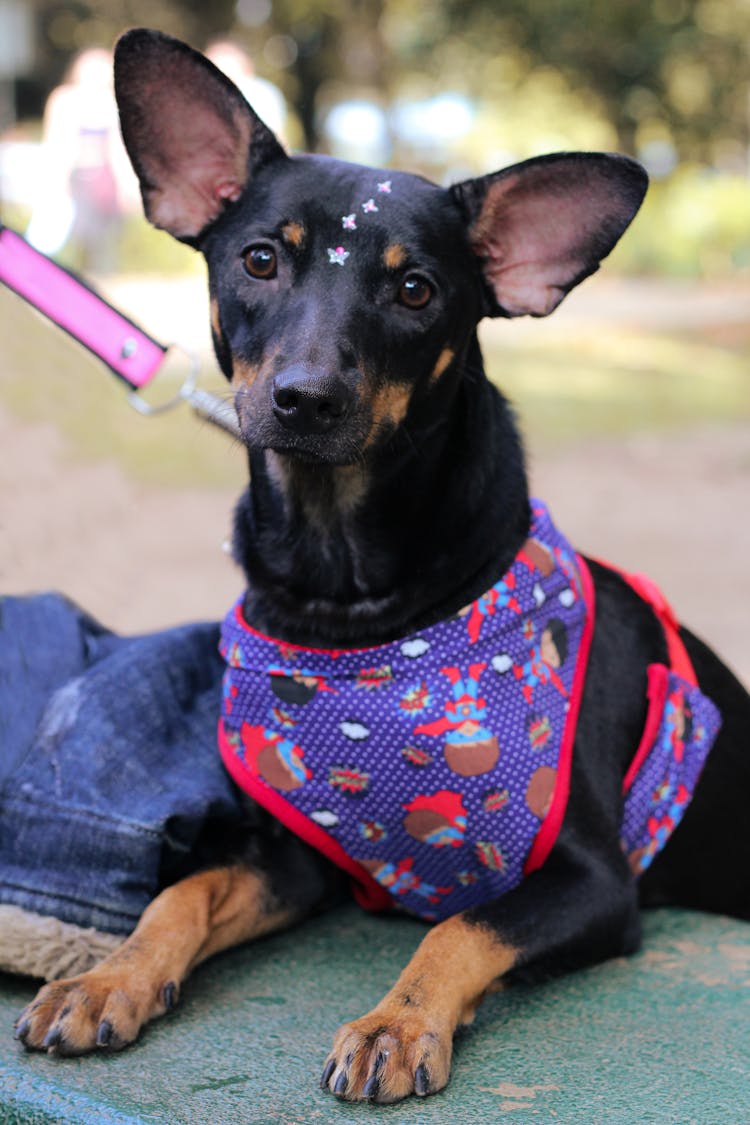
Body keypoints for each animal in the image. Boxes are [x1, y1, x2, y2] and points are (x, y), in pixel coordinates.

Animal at [13, 28, 750, 1107]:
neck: (351, 598)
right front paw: (110, 977)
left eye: (415, 289)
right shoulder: (296, 856)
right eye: (260, 259)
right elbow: (182, 893)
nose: (305, 398)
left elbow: (461, 923)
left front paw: (397, 1023)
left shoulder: (595, 881)